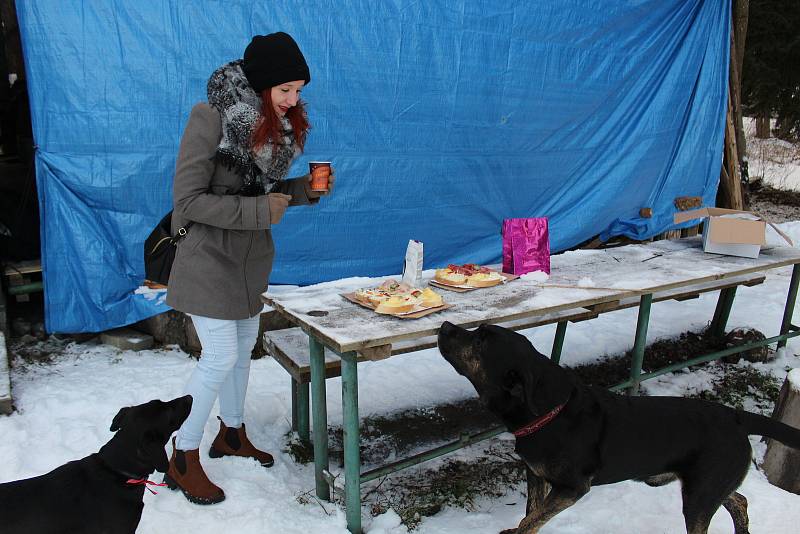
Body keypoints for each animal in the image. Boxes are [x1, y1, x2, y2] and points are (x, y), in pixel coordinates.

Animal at [438, 322, 800, 534]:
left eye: (481, 339)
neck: (549, 411)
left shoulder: (572, 488)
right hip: (707, 485)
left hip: (700, 494)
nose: (444, 325)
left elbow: (532, 519)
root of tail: (736, 416)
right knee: (739, 500)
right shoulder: (535, 474)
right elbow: (530, 513)